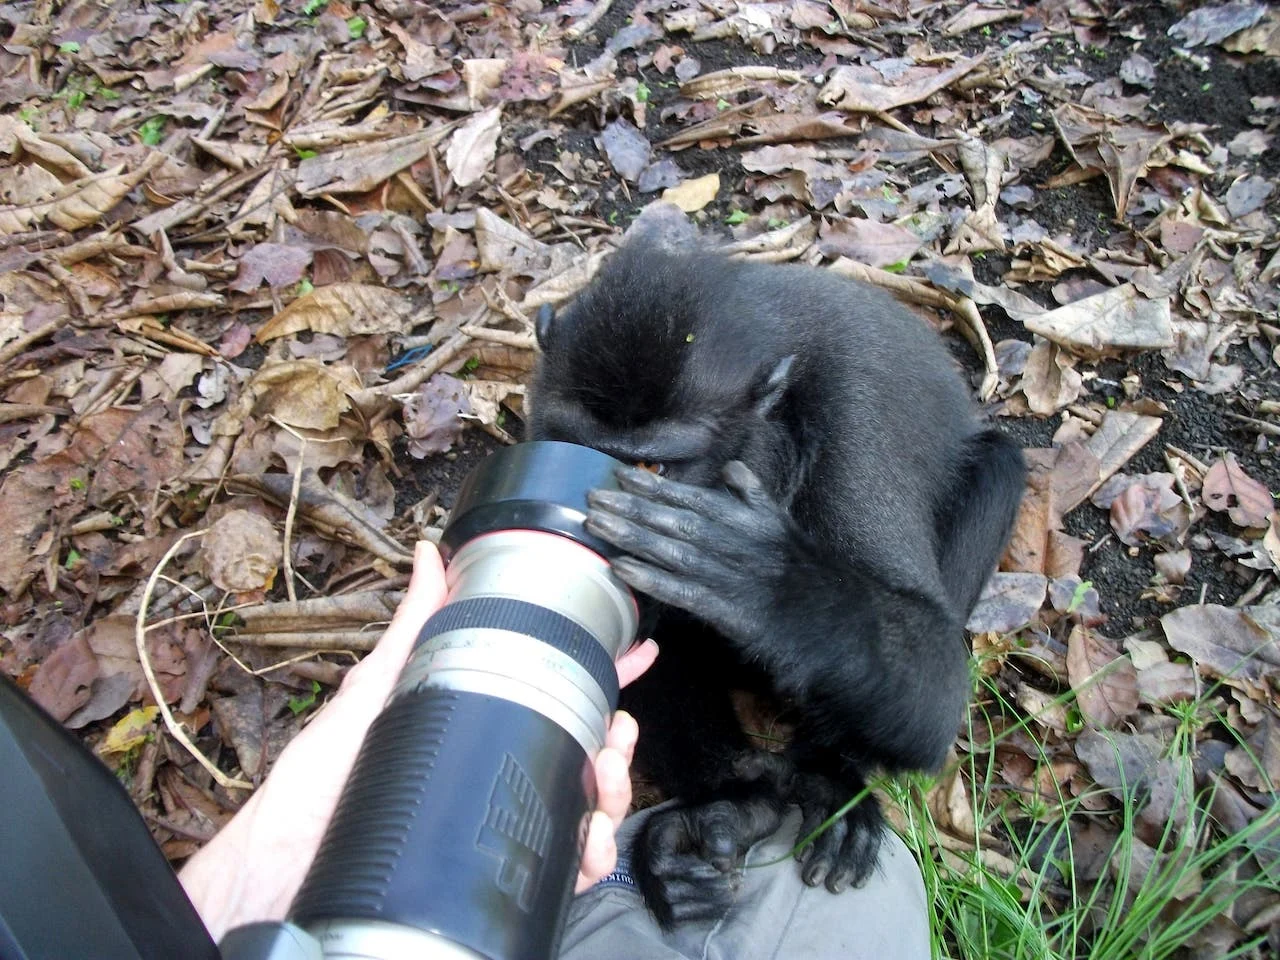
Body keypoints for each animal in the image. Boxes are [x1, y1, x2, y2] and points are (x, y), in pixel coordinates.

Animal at [527, 219, 1025, 928]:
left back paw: (830, 781)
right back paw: (731, 811)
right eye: (578, 451)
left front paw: (770, 582)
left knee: (1000, 466)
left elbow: (936, 678)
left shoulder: (855, 418)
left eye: (653, 468)